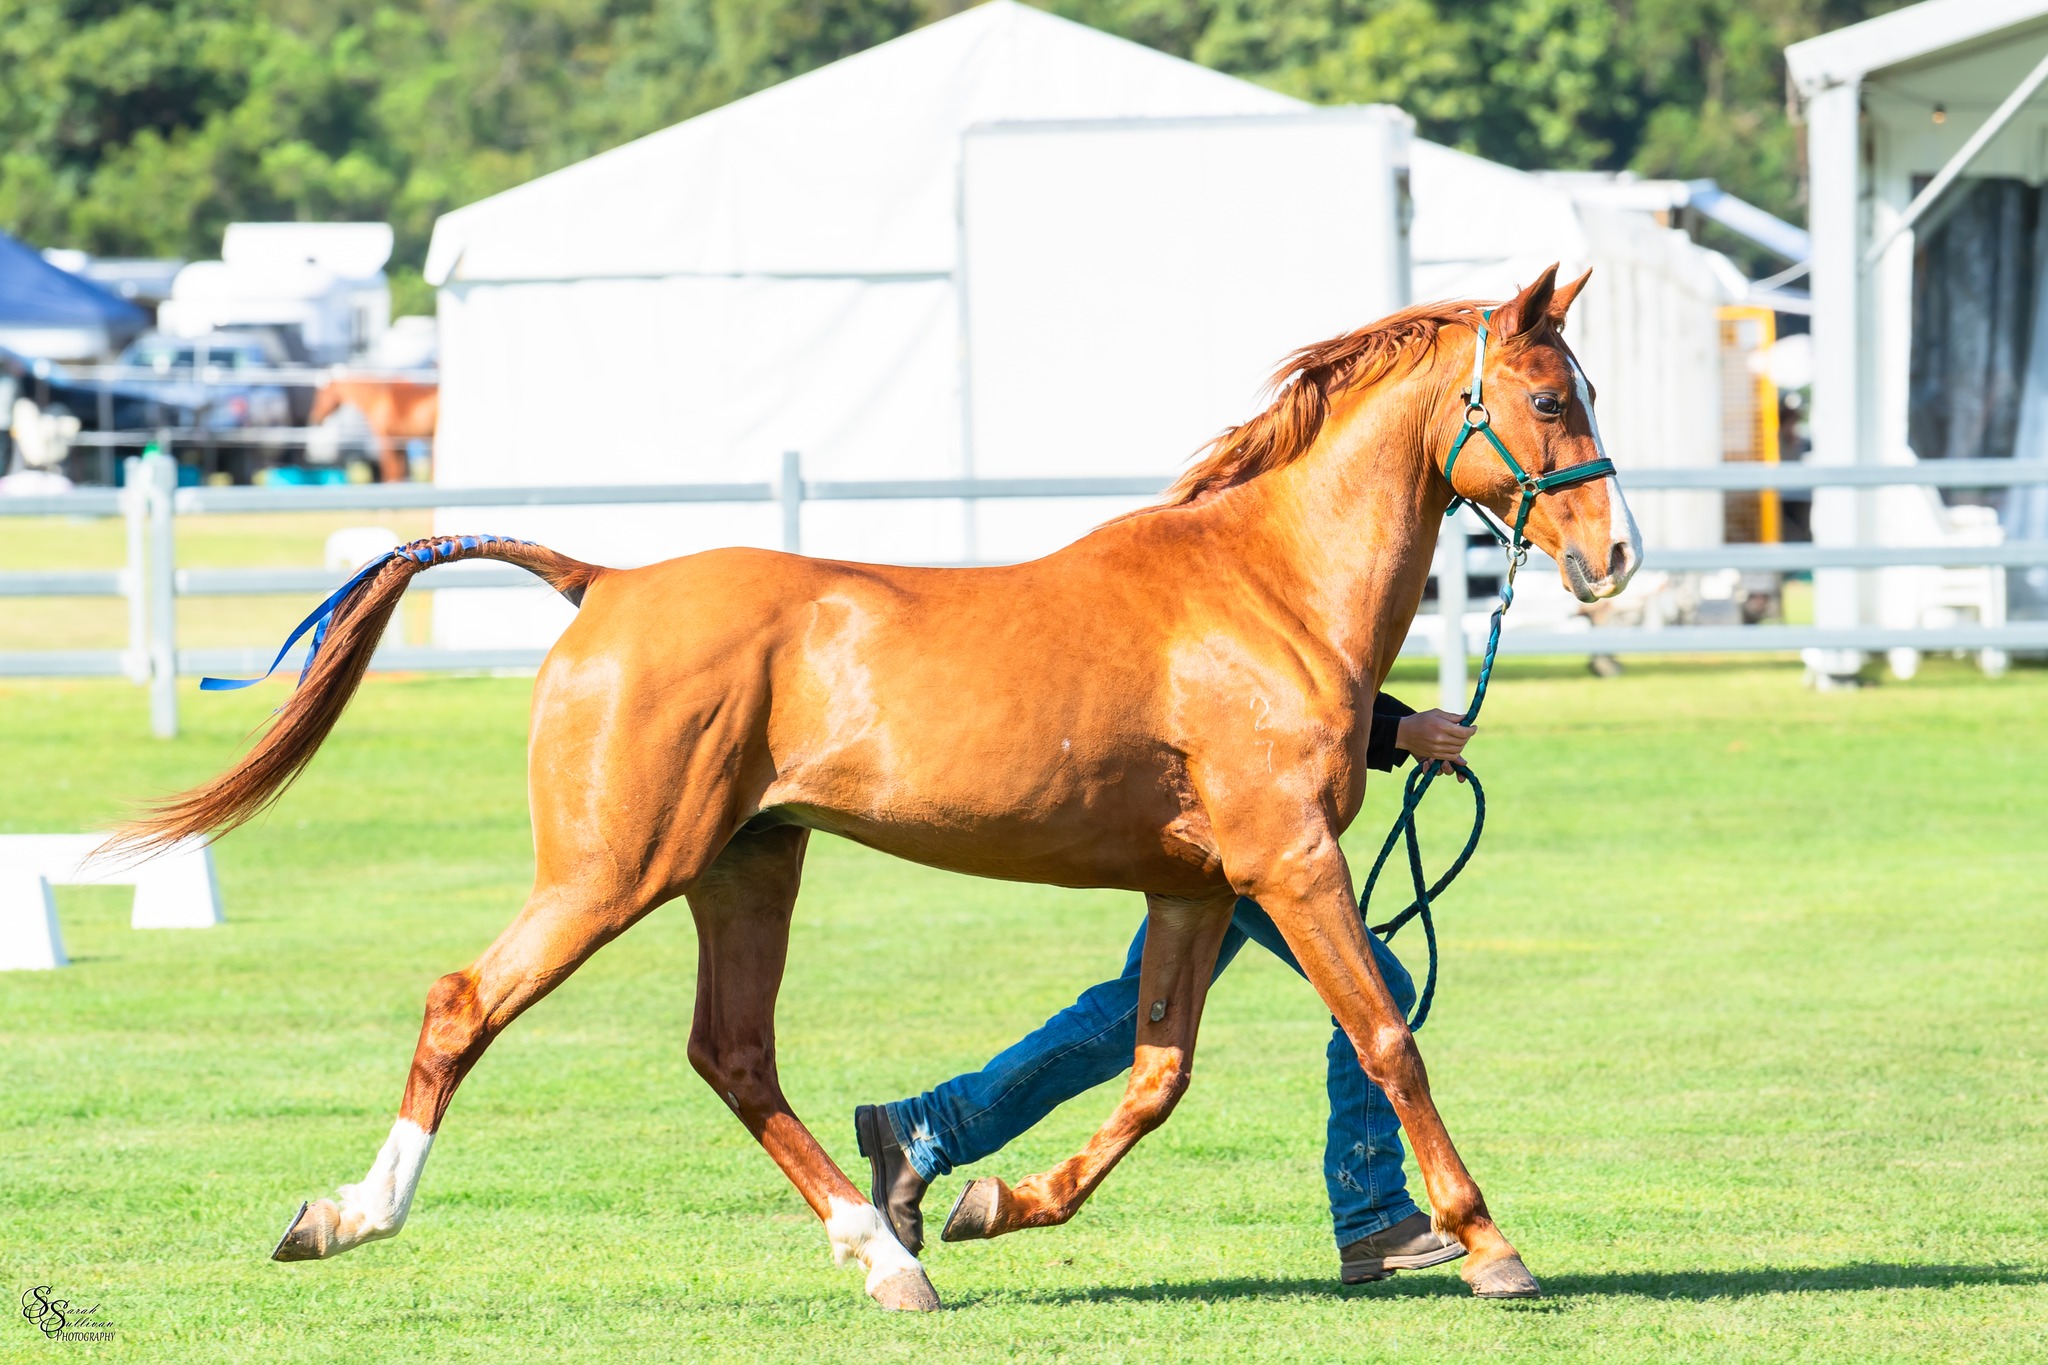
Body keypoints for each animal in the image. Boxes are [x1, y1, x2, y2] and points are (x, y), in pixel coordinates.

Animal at [308, 378, 438, 483]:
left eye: (320, 395)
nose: (315, 419)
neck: (378, 399)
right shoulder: (398, 443)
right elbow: (398, 471)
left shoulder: (386, 439)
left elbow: (391, 470)